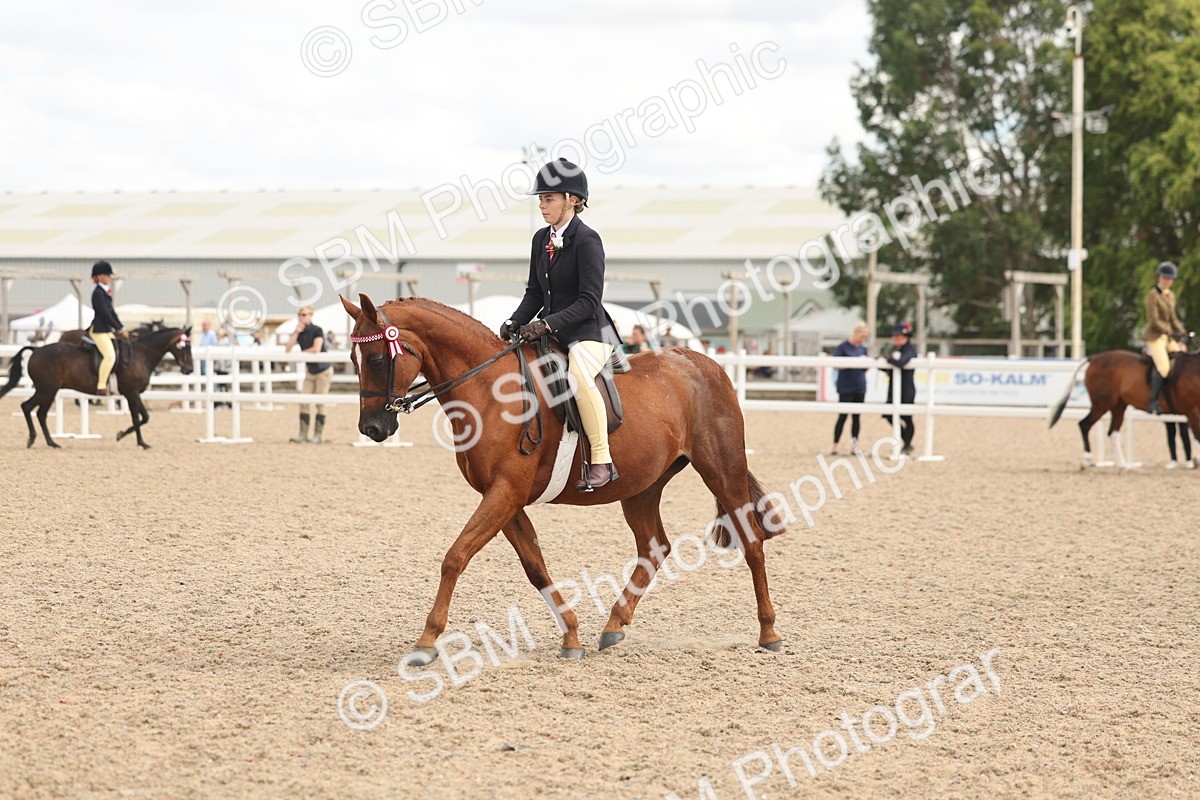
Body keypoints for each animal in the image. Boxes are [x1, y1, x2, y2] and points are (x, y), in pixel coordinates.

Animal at [0, 327, 194, 449]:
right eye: (185, 346)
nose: (189, 369)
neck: (140, 355)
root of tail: (36, 350)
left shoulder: (134, 393)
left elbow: (144, 417)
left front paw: (123, 435)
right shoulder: (131, 393)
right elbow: (138, 418)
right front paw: (139, 442)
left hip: (48, 391)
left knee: (40, 413)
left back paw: (51, 443)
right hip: (46, 390)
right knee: (28, 407)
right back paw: (34, 440)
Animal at [342, 294, 786, 663]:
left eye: (377, 359)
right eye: (352, 358)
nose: (371, 428)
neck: (489, 390)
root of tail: (704, 363)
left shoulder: (504, 493)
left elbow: (456, 556)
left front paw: (426, 641)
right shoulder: (505, 497)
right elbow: (534, 566)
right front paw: (571, 636)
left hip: (720, 468)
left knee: (751, 541)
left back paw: (769, 633)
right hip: (642, 487)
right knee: (654, 547)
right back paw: (613, 625)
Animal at [1048, 349, 1200, 468]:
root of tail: (1095, 358)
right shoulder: (1192, 412)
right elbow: (1197, 436)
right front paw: (1196, 461)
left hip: (1118, 406)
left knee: (1112, 432)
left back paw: (1123, 465)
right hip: (1102, 404)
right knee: (1084, 425)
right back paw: (1086, 461)